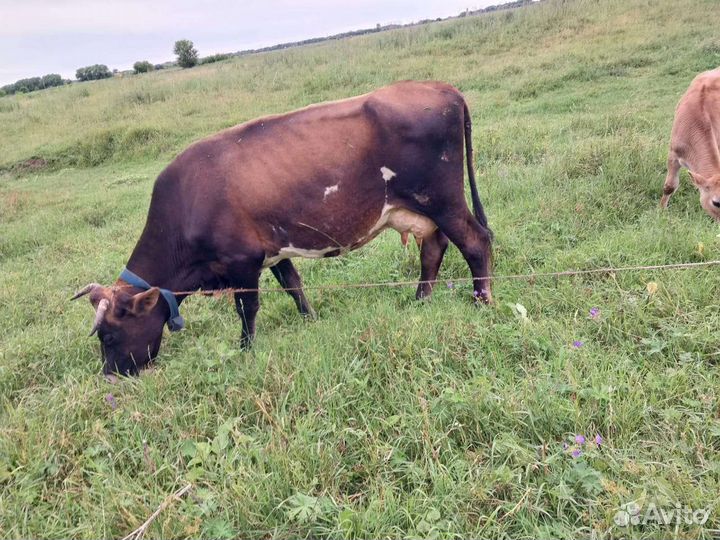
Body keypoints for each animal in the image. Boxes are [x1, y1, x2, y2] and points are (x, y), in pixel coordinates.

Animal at [72, 80, 493, 377]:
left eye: (109, 335)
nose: (110, 376)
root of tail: (442, 88)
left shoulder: (240, 260)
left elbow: (247, 308)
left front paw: (245, 350)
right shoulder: (271, 251)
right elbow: (294, 286)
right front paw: (311, 320)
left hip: (442, 200)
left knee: (475, 242)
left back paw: (481, 301)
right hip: (422, 210)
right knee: (434, 249)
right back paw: (420, 301)